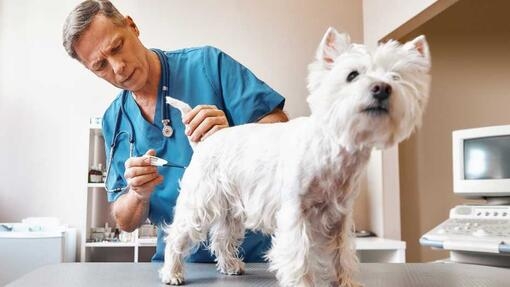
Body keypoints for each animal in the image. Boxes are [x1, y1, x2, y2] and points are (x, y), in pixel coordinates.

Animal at [159, 27, 430, 287]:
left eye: (396, 77)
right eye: (352, 75)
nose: (382, 88)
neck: (334, 150)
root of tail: (204, 142)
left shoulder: (340, 217)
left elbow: (342, 253)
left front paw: (347, 282)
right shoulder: (295, 212)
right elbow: (299, 255)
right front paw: (302, 282)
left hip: (229, 208)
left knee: (222, 237)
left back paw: (231, 265)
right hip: (199, 201)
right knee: (177, 235)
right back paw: (172, 273)